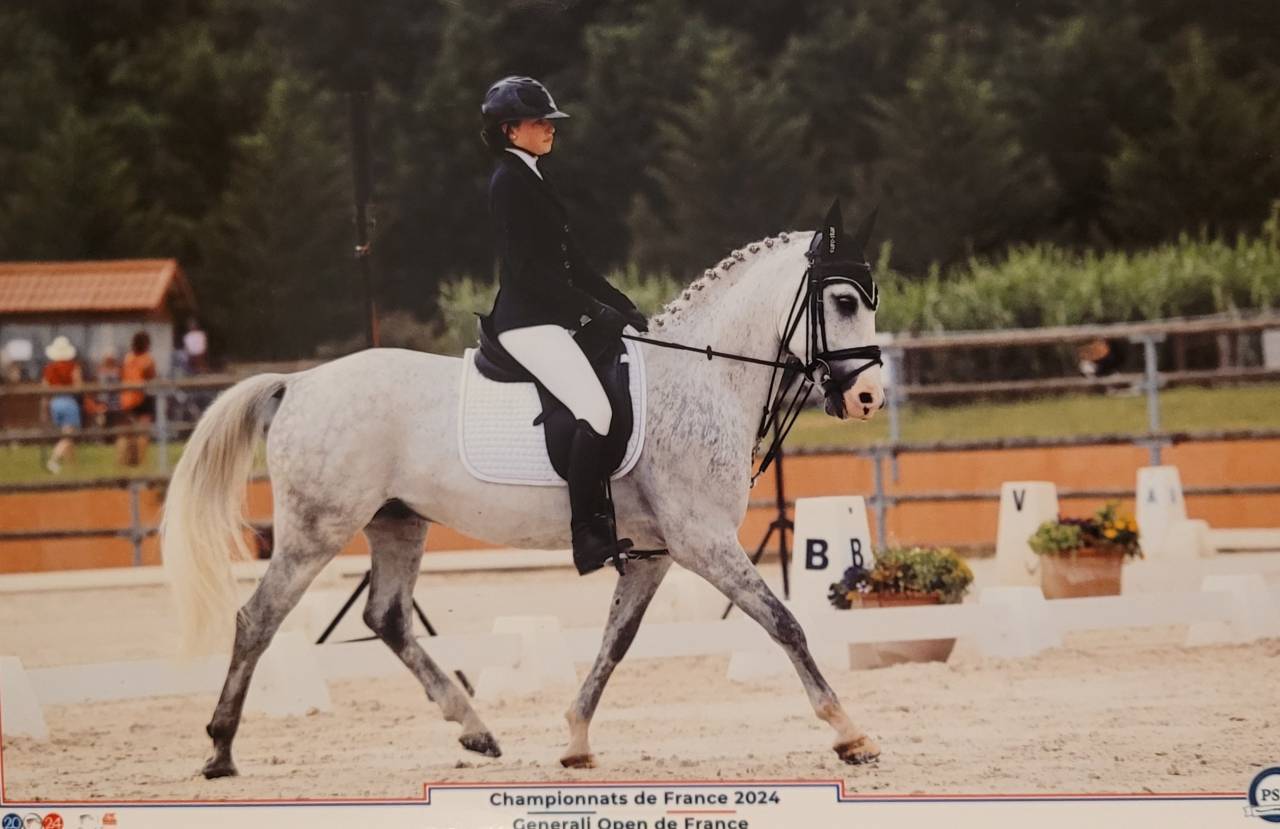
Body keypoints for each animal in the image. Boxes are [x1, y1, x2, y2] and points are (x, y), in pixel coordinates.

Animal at [162, 205, 887, 779]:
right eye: (845, 302)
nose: (869, 397)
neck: (699, 379)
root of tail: (298, 383)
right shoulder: (702, 540)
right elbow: (784, 621)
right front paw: (850, 732)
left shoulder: (654, 553)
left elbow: (616, 641)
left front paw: (575, 739)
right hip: (318, 527)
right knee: (258, 618)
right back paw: (219, 750)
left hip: (397, 521)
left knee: (386, 618)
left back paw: (475, 729)